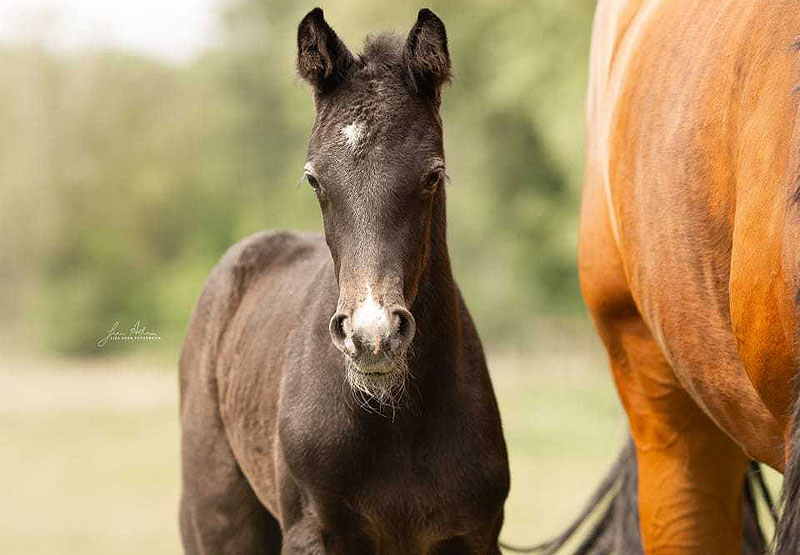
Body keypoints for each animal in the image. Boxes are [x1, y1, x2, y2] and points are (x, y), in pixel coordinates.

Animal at [179, 8, 510, 555]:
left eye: (432, 175)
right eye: (315, 179)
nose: (372, 337)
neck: (396, 418)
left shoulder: (473, 535)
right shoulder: (312, 533)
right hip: (215, 515)